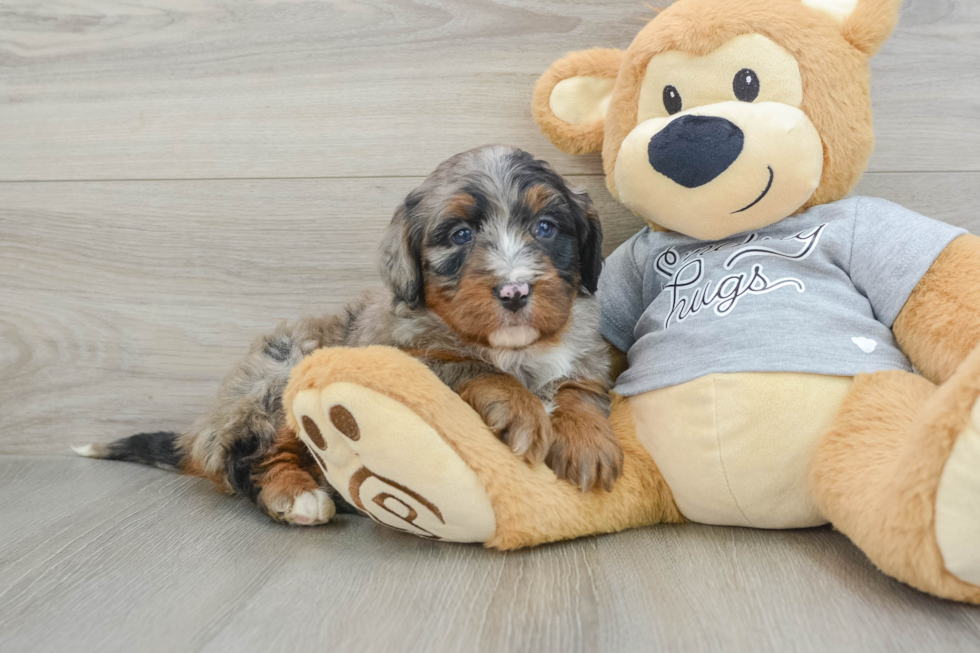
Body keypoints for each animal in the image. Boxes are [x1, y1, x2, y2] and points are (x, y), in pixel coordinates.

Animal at [80, 146, 624, 524]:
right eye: (461, 235)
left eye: (547, 227)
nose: (514, 290)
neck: (515, 348)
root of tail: (203, 429)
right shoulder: (405, 355)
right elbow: (470, 366)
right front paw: (520, 407)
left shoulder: (586, 355)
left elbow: (579, 387)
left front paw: (587, 442)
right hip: (280, 379)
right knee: (249, 457)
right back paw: (298, 496)